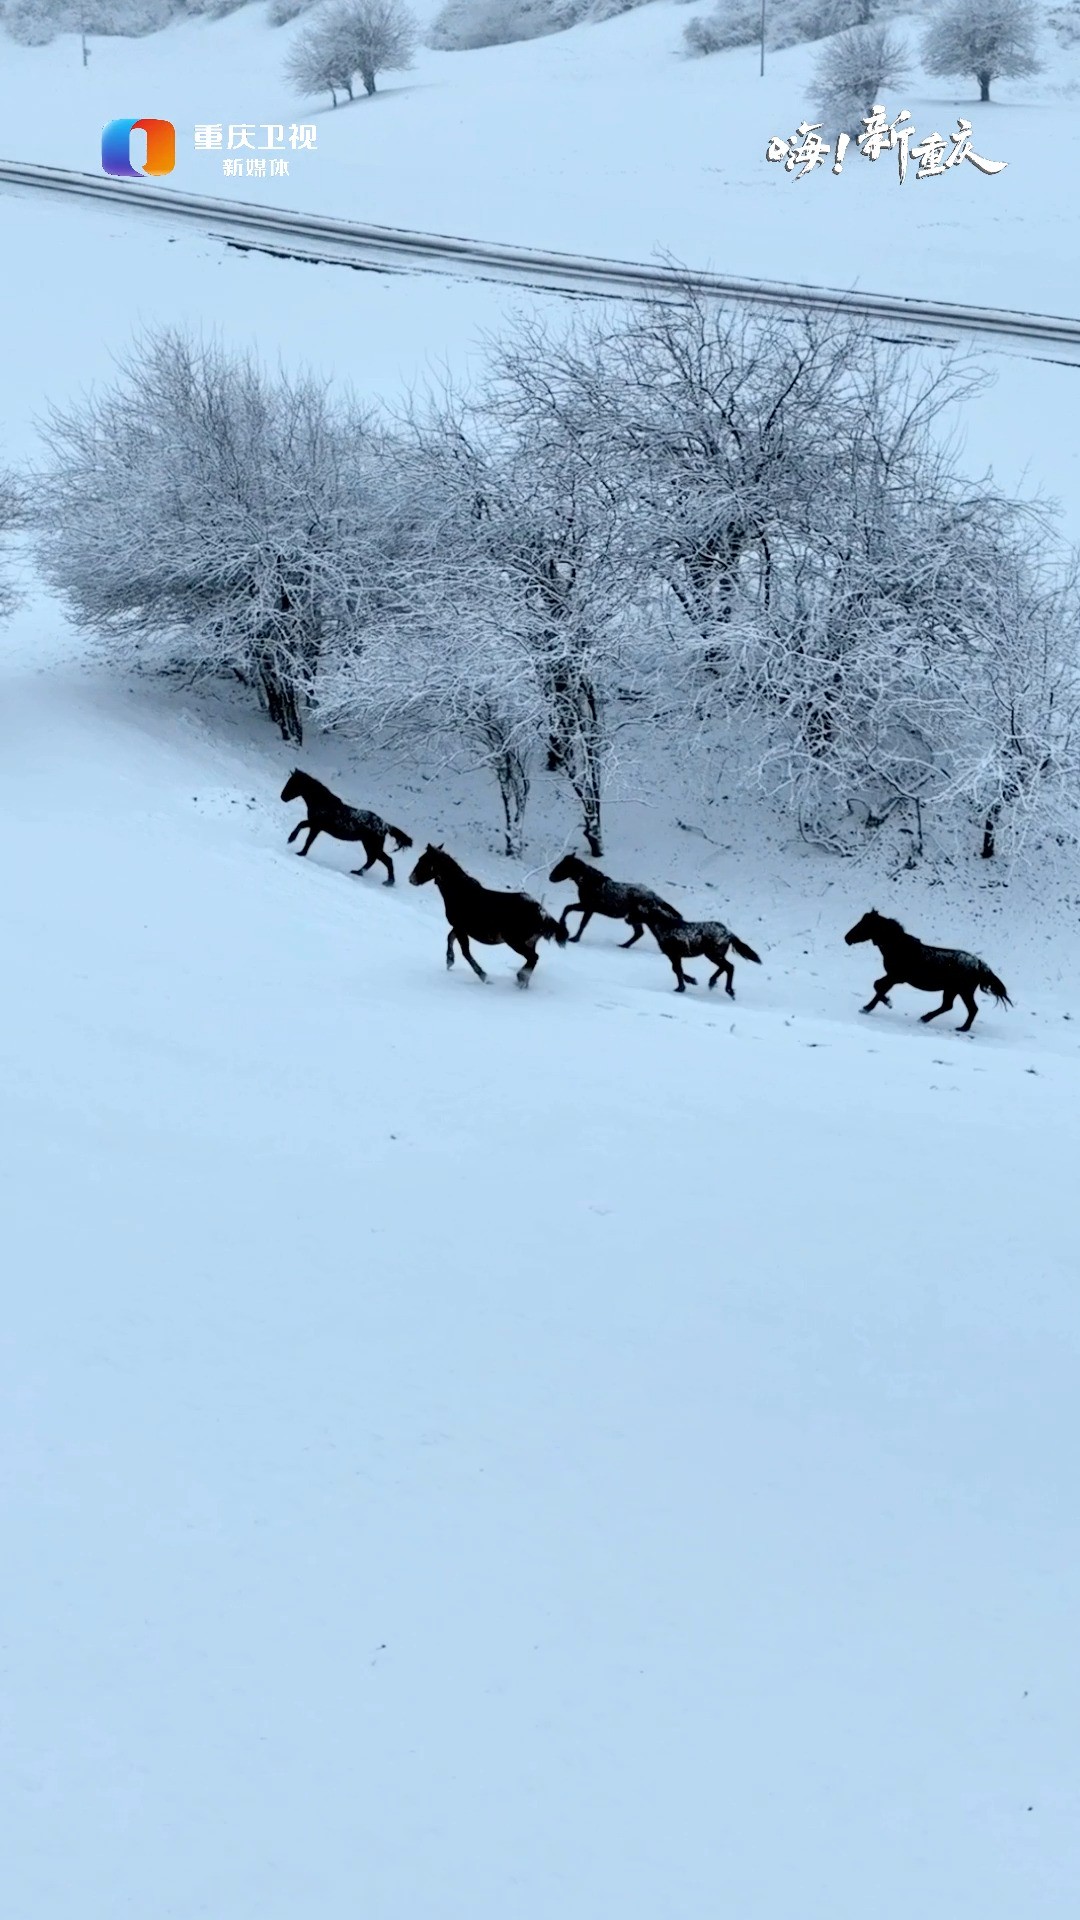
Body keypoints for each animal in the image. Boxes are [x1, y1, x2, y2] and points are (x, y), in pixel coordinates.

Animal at [276, 764, 411, 883]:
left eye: (293, 783)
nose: (282, 797)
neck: (322, 802)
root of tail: (385, 825)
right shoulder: (315, 825)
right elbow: (303, 830)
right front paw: (295, 844)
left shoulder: (316, 825)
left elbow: (307, 836)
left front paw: (296, 847)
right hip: (370, 846)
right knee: (376, 860)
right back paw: (363, 874)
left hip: (372, 846)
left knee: (383, 860)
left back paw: (385, 881)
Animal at [407, 844, 568, 990]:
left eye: (423, 860)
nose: (411, 879)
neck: (458, 892)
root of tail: (541, 912)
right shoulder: (459, 928)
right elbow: (450, 937)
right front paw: (449, 961)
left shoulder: (460, 928)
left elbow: (465, 951)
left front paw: (484, 976)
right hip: (529, 941)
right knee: (533, 959)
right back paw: (522, 982)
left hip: (515, 941)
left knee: (533, 958)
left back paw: (520, 978)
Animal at [841, 913, 1006, 1036]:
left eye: (864, 925)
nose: (847, 938)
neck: (899, 947)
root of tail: (980, 964)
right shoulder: (893, 978)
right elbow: (879, 987)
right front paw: (869, 1007)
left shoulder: (896, 977)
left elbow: (878, 986)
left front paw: (886, 1003)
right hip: (953, 990)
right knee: (948, 1006)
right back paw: (927, 1019)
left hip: (963, 991)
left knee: (970, 1009)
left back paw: (960, 1028)